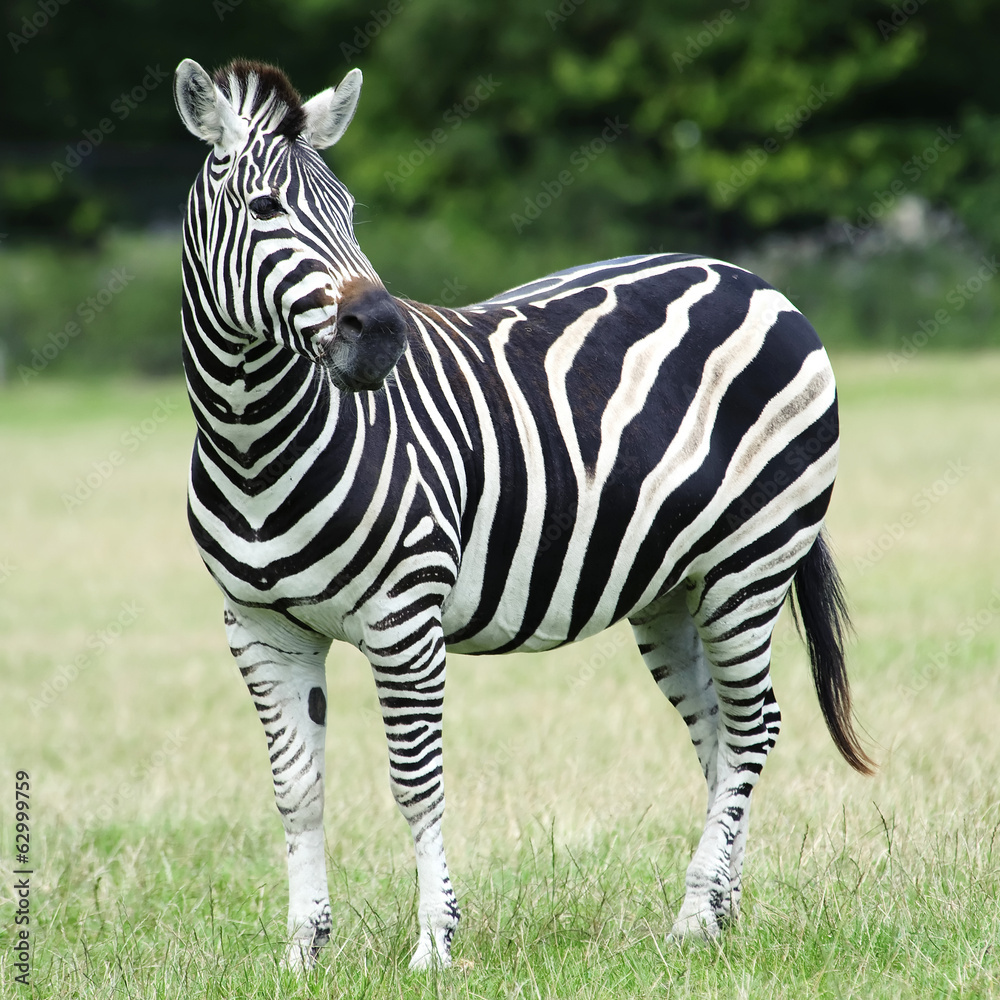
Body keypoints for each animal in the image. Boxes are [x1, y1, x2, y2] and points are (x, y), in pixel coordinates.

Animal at [173, 57, 873, 970]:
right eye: (264, 210)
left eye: (351, 210)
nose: (383, 332)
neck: (254, 441)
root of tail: (753, 279)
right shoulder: (258, 628)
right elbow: (297, 790)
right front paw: (302, 953)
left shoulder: (405, 620)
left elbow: (414, 780)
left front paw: (434, 945)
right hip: (672, 590)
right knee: (721, 736)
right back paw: (720, 913)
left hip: (749, 563)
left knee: (755, 727)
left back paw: (693, 917)